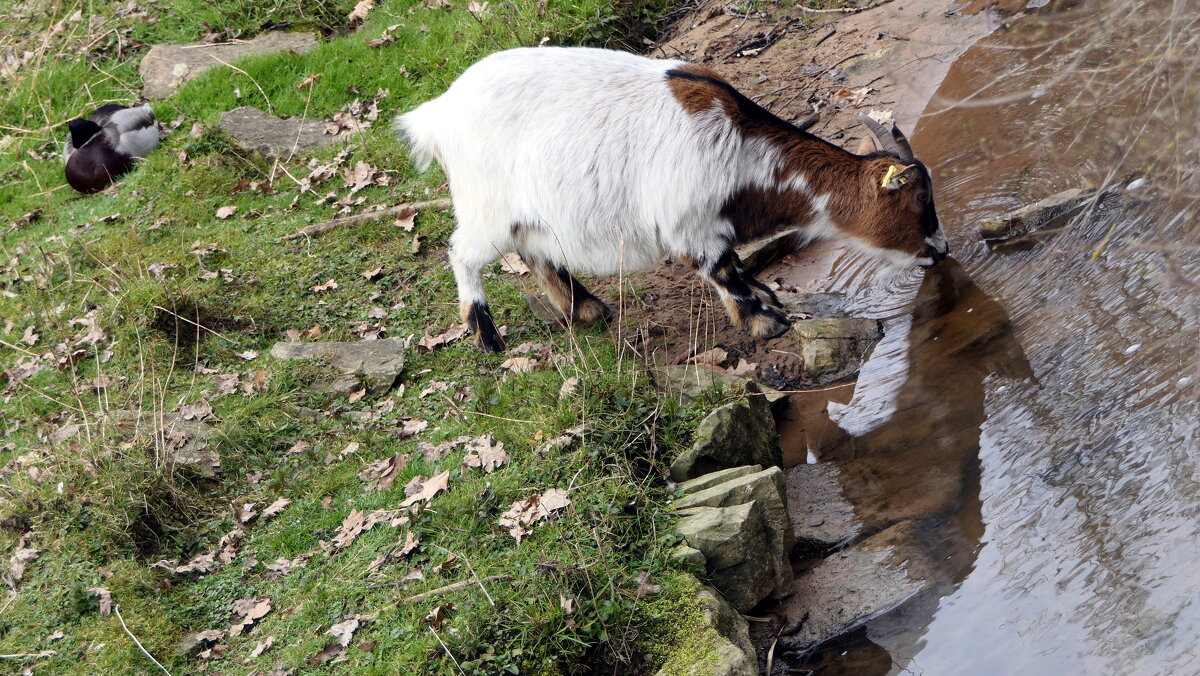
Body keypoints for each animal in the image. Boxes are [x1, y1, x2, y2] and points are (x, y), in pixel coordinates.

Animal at [400, 47, 945, 355]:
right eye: (921, 196)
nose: (940, 250)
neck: (740, 145)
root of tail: (436, 115)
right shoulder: (689, 224)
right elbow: (722, 269)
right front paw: (765, 323)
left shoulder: (712, 223)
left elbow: (736, 266)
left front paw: (767, 299)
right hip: (485, 206)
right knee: (462, 253)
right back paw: (487, 338)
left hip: (530, 216)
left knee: (537, 254)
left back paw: (587, 309)